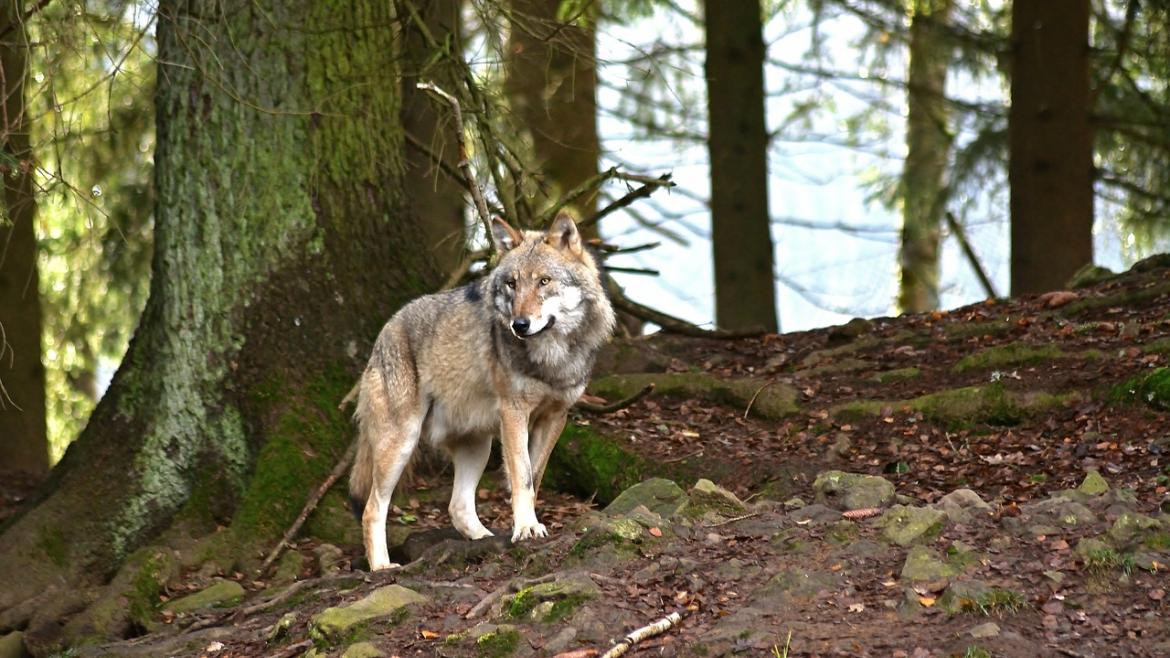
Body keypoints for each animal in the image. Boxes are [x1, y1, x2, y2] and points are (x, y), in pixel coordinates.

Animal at [347, 212, 616, 571]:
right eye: (512, 284)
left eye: (544, 281)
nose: (519, 325)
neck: (552, 357)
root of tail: (386, 329)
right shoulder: (514, 413)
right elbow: (522, 476)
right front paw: (526, 528)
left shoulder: (555, 417)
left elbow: (534, 477)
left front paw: (526, 525)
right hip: (402, 443)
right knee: (372, 509)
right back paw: (382, 566)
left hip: (478, 446)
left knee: (457, 507)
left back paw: (486, 540)